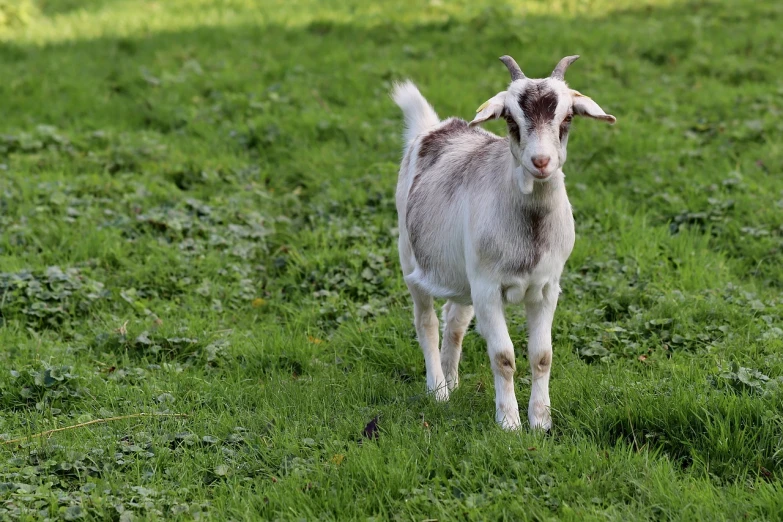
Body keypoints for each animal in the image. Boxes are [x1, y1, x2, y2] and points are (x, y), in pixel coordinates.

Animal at [392, 54, 620, 428]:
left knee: (455, 320)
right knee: (427, 322)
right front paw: (509, 423)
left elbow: (542, 355)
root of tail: (434, 128)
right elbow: (503, 356)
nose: (541, 161)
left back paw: (452, 382)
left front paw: (540, 421)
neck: (530, 229)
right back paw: (438, 391)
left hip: (463, 275)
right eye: (511, 119)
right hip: (411, 258)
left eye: (567, 117)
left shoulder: (546, 288)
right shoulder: (487, 287)